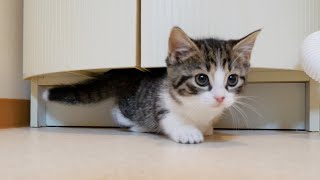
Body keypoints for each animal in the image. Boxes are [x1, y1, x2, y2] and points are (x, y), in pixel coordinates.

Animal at [43, 26, 260, 144]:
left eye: (232, 79)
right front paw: (187, 131)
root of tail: (128, 73)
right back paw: (140, 127)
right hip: (132, 107)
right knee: (120, 112)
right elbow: (168, 117)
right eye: (201, 79)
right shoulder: (160, 100)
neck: (198, 109)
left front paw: (207, 127)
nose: (220, 97)